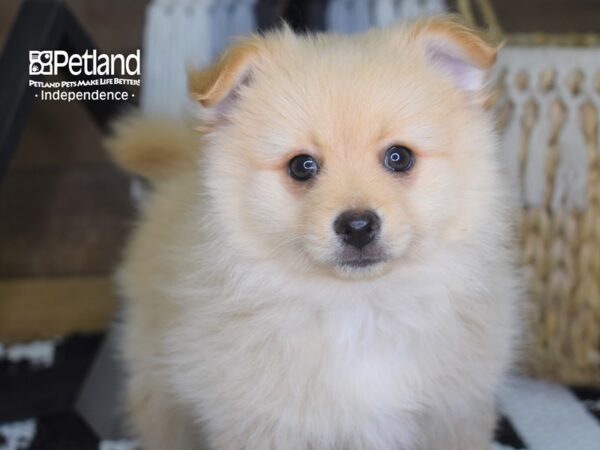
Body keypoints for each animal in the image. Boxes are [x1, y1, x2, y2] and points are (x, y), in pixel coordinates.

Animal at [108, 15, 520, 448]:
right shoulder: (264, 426)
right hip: (157, 385)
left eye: (399, 157)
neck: (361, 311)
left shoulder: (455, 415)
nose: (358, 226)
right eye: (301, 166)